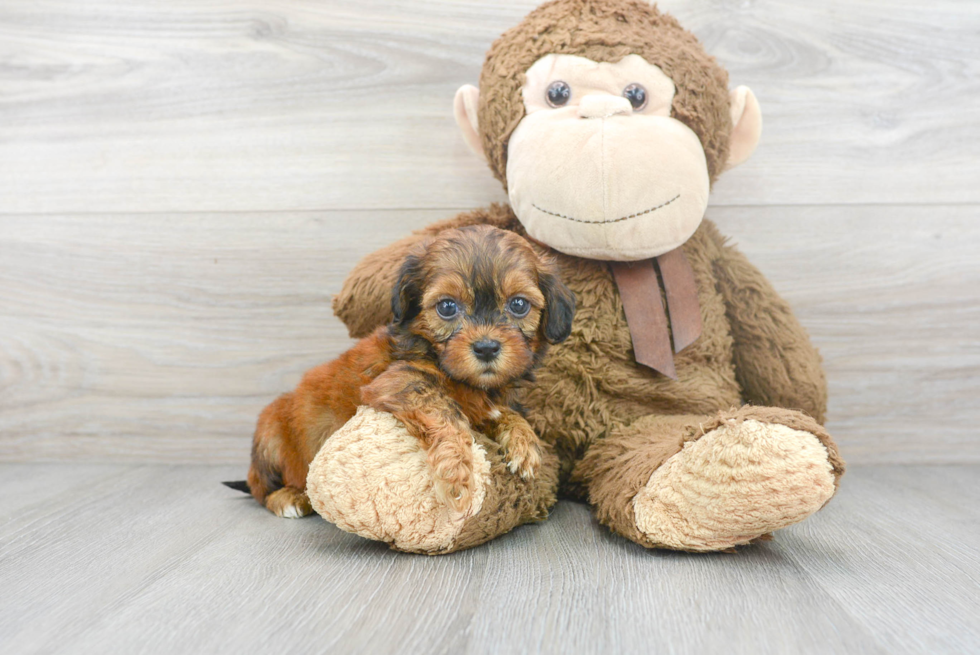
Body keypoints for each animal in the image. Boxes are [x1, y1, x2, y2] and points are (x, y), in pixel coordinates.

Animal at [239, 226, 576, 516]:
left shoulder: (486, 405)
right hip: (270, 436)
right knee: (259, 489)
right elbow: (445, 412)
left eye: (519, 304)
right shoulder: (399, 381)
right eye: (447, 307)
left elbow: (505, 413)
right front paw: (457, 473)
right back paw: (290, 499)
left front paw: (525, 444)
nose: (486, 348)